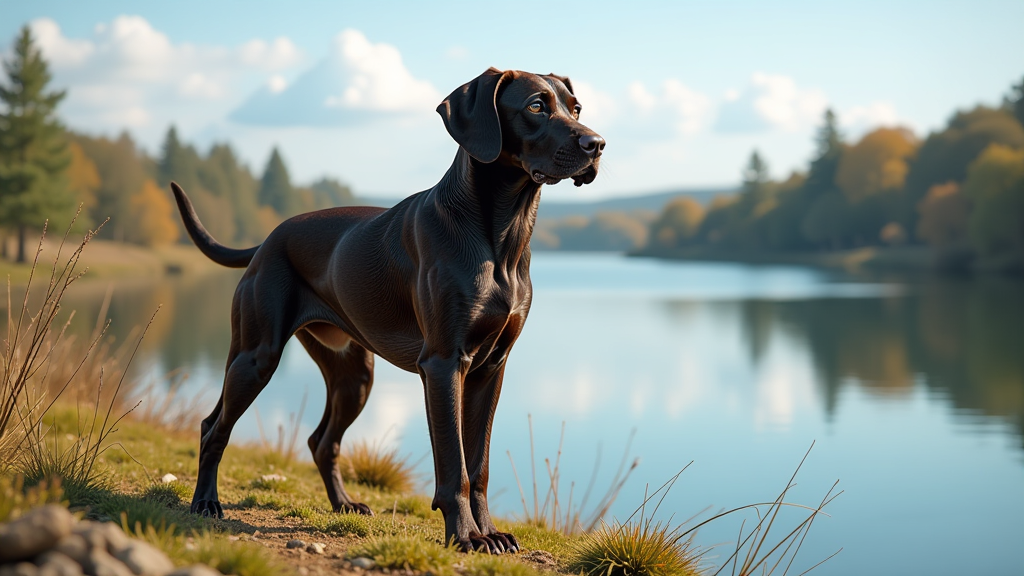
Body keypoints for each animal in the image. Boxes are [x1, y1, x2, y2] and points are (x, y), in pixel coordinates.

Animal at [172, 67, 602, 553]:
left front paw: (489, 533)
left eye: (576, 108)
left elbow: (479, 466)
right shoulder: (444, 363)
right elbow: (453, 464)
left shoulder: (491, 368)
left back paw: (343, 504)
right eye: (536, 106)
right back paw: (206, 502)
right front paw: (465, 535)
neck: (502, 238)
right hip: (256, 356)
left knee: (321, 441)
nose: (597, 144)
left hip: (353, 374)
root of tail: (266, 240)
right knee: (214, 428)